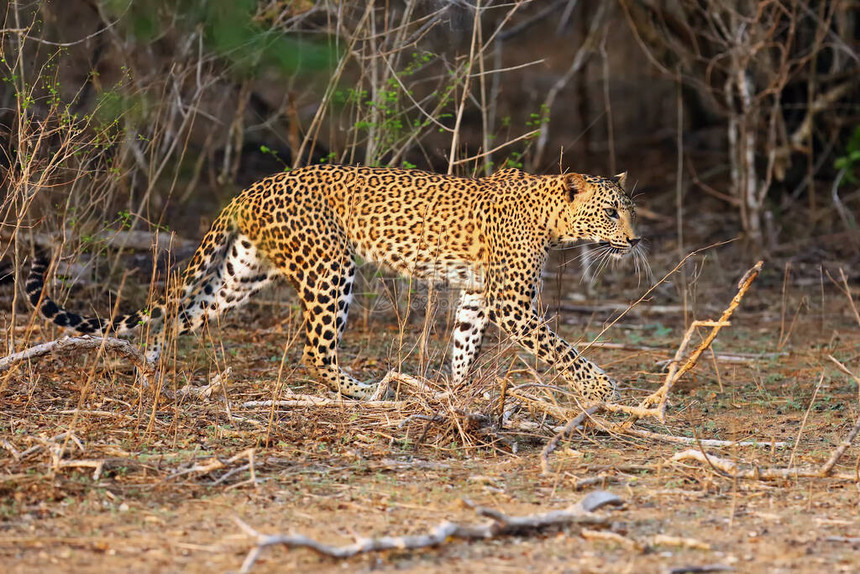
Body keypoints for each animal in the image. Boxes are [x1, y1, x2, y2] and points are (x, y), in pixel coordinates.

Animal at [25, 164, 640, 402]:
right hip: (330, 269)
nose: (635, 240)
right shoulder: (513, 302)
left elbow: (465, 342)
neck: (551, 218)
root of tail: (250, 189)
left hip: (239, 275)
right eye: (612, 212)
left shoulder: (477, 293)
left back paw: (151, 376)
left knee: (175, 319)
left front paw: (457, 393)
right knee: (314, 351)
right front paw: (601, 389)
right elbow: (560, 348)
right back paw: (363, 391)